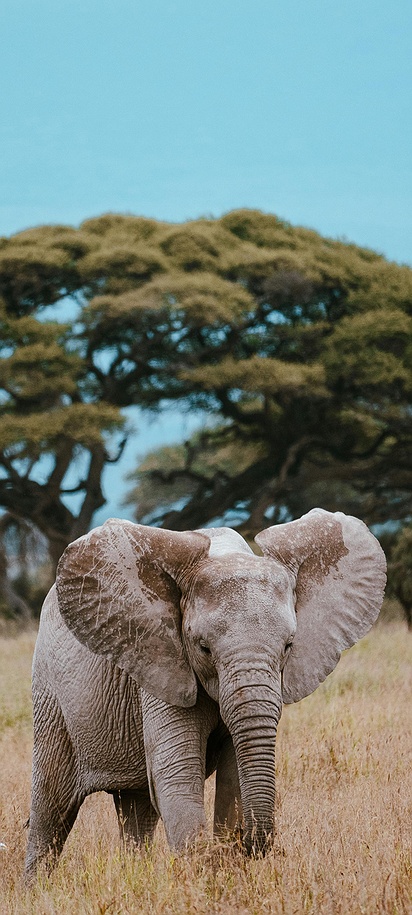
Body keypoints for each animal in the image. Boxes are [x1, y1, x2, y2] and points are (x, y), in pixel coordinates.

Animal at [25, 508, 386, 877]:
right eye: (204, 648)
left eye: (288, 646)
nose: (254, 843)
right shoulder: (162, 658)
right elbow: (177, 773)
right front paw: (202, 876)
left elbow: (232, 775)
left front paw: (229, 867)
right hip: (50, 692)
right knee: (51, 806)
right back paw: (39, 886)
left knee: (136, 808)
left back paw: (136, 876)